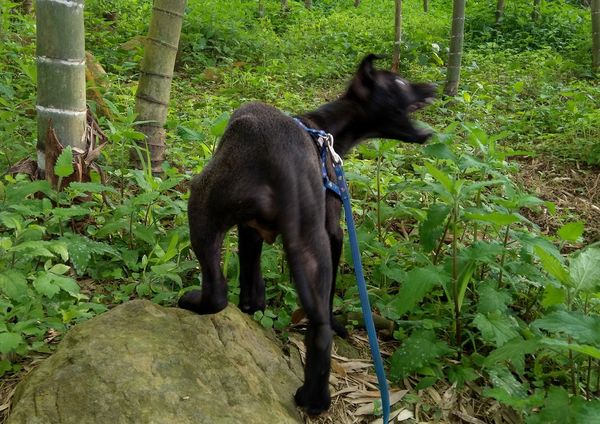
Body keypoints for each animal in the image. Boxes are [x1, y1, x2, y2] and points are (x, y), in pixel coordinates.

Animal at [179, 54, 436, 416]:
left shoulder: (250, 229)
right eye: (399, 83)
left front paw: (251, 305)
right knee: (320, 329)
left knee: (218, 294)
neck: (324, 127)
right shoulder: (332, 231)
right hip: (304, 243)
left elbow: (249, 270)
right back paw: (315, 399)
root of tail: (276, 158)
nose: (434, 87)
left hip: (205, 206)